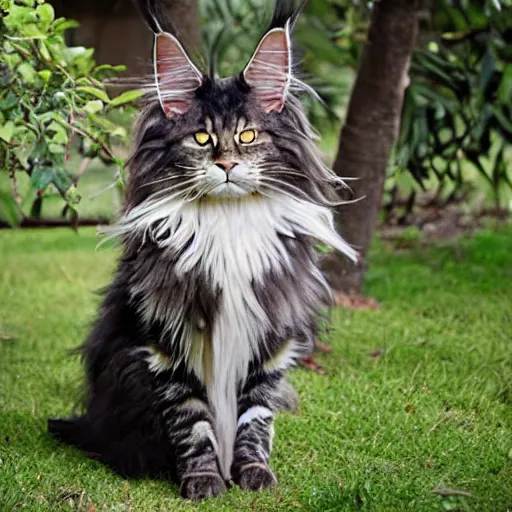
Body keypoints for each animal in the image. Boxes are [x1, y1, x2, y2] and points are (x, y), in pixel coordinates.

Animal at [50, 0, 358, 500]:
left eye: (248, 136)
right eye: (201, 138)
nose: (227, 164)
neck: (228, 226)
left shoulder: (269, 340)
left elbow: (255, 420)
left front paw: (254, 474)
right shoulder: (166, 344)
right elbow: (192, 425)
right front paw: (204, 482)